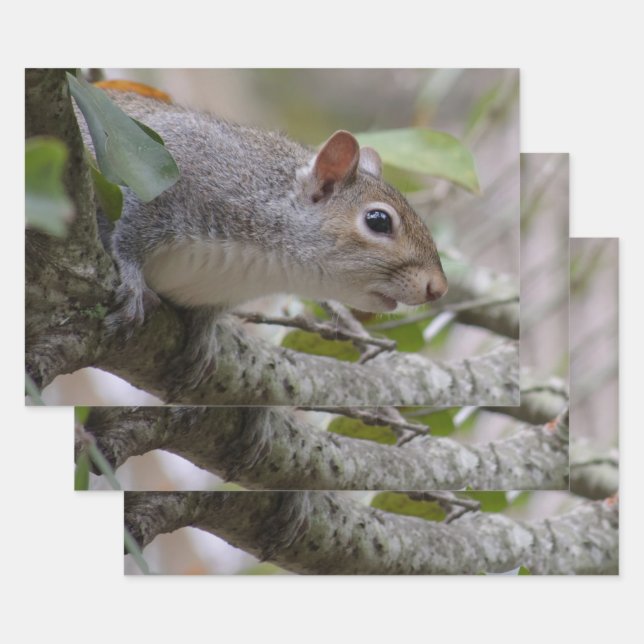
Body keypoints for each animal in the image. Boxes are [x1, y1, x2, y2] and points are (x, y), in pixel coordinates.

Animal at [80, 88, 448, 393]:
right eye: (378, 221)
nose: (438, 288)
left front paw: (205, 333)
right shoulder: (159, 171)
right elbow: (129, 229)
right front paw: (132, 281)